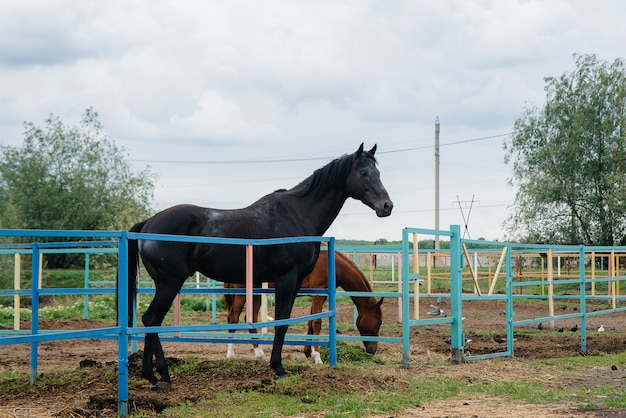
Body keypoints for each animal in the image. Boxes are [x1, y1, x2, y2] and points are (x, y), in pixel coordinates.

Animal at [222, 250, 382, 364]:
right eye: (379, 322)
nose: (373, 350)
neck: (334, 265)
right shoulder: (318, 295)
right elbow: (317, 323)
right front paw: (317, 357)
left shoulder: (318, 296)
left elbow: (311, 322)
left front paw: (307, 352)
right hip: (243, 294)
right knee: (233, 318)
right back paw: (230, 354)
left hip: (256, 293)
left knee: (251, 319)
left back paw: (259, 354)